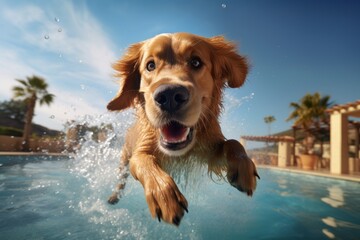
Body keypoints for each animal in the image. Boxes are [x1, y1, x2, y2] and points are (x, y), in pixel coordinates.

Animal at [106, 32, 258, 226]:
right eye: (150, 65)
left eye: (196, 62)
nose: (169, 96)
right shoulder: (141, 150)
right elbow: (143, 160)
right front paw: (164, 196)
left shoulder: (209, 151)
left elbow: (231, 143)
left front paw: (243, 165)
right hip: (124, 158)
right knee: (121, 180)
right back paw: (113, 197)